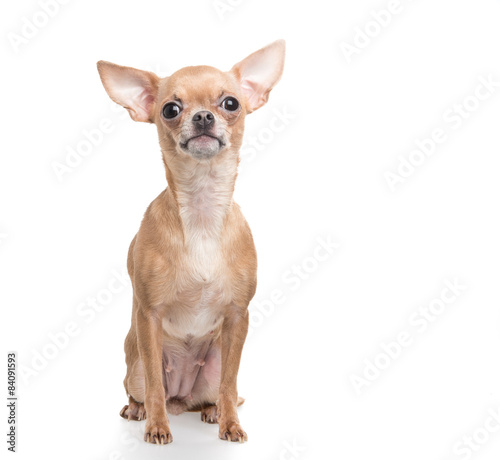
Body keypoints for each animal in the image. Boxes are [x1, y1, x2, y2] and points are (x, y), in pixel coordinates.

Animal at [96, 41, 286, 444]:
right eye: (170, 109)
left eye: (231, 103)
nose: (201, 117)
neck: (200, 211)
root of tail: (182, 399)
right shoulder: (149, 316)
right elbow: (155, 385)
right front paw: (156, 427)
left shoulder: (237, 317)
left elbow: (230, 384)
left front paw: (231, 424)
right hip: (135, 364)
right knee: (144, 388)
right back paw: (138, 410)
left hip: (211, 368)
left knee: (218, 390)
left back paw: (212, 412)